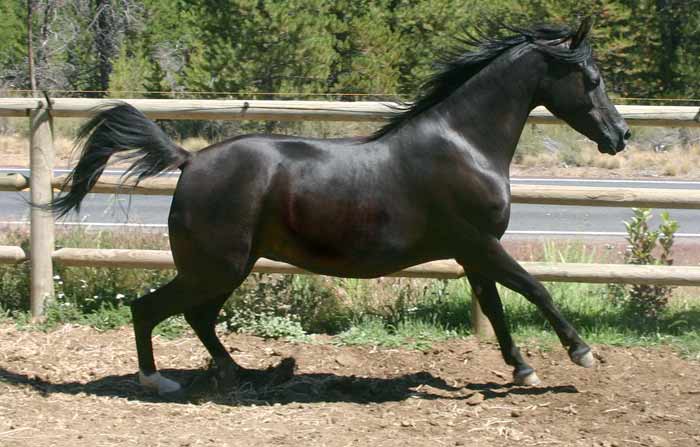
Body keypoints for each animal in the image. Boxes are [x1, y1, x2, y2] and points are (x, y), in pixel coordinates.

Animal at [49, 18, 630, 396]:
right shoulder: (479, 243)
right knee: (150, 308)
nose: (620, 135)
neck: (464, 144)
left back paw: (241, 374)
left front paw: (522, 368)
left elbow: (496, 307)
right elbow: (535, 288)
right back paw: (160, 380)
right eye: (593, 79)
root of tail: (189, 161)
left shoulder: (472, 253)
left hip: (228, 267)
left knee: (197, 317)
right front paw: (581, 353)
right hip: (217, 266)